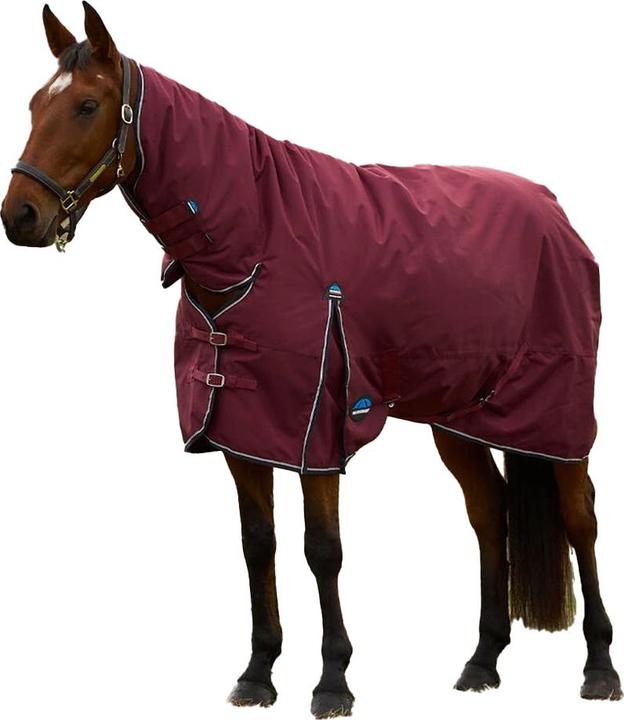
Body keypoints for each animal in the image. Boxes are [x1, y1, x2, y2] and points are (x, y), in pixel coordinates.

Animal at [1, 3, 621, 716]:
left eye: (87, 105)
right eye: (32, 104)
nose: (19, 215)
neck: (259, 241)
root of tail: (554, 210)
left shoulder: (316, 430)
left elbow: (322, 550)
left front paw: (332, 681)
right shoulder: (243, 430)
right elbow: (258, 545)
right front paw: (257, 672)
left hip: (555, 414)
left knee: (580, 519)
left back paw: (599, 669)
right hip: (459, 417)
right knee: (489, 512)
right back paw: (482, 661)